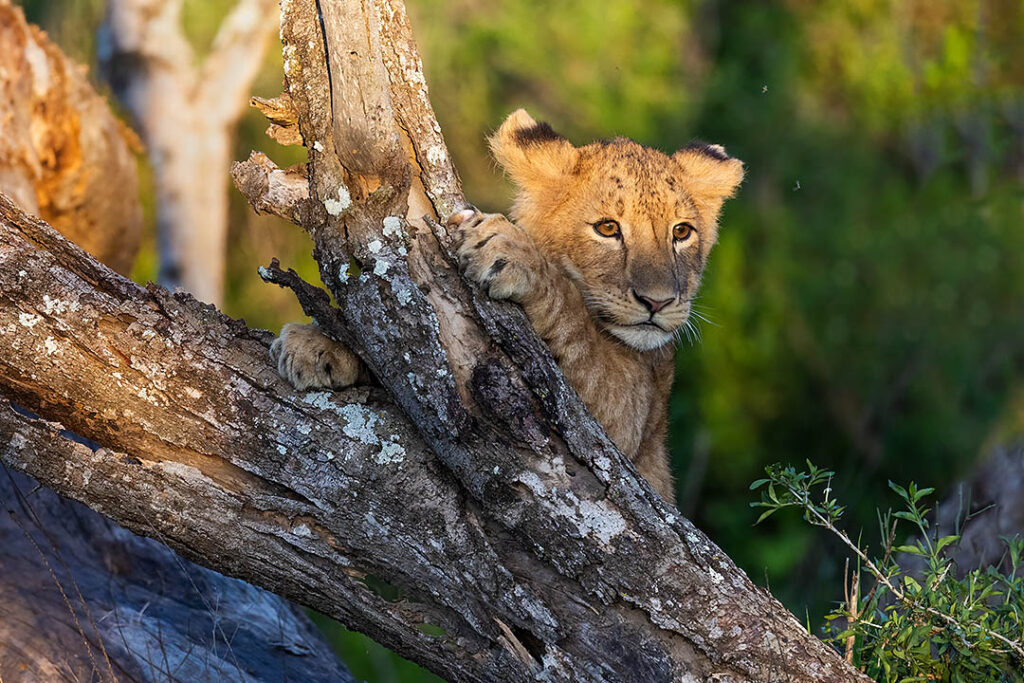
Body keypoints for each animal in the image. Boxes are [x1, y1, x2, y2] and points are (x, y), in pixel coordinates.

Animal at [272, 109, 743, 503]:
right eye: (608, 228)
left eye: (681, 232)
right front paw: (315, 345)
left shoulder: (626, 436)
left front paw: (510, 252)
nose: (658, 301)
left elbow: (577, 327)